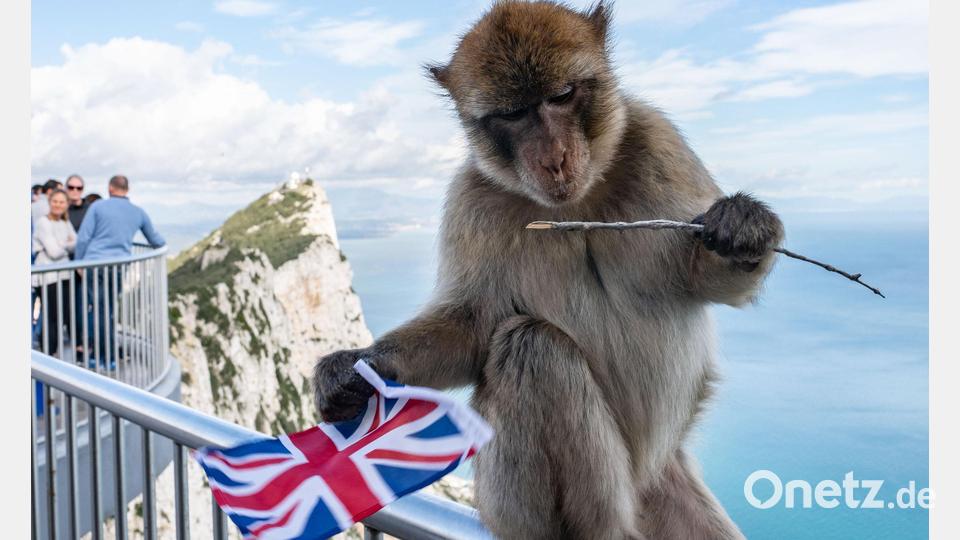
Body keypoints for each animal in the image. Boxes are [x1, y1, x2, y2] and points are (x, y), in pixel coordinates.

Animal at [313, 2, 783, 538]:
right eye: (514, 114)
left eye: (560, 96)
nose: (554, 159)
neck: (577, 201)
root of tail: (645, 483)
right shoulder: (472, 200)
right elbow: (474, 325)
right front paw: (353, 366)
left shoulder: (659, 142)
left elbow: (705, 279)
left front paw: (743, 228)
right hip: (529, 505)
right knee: (530, 347)